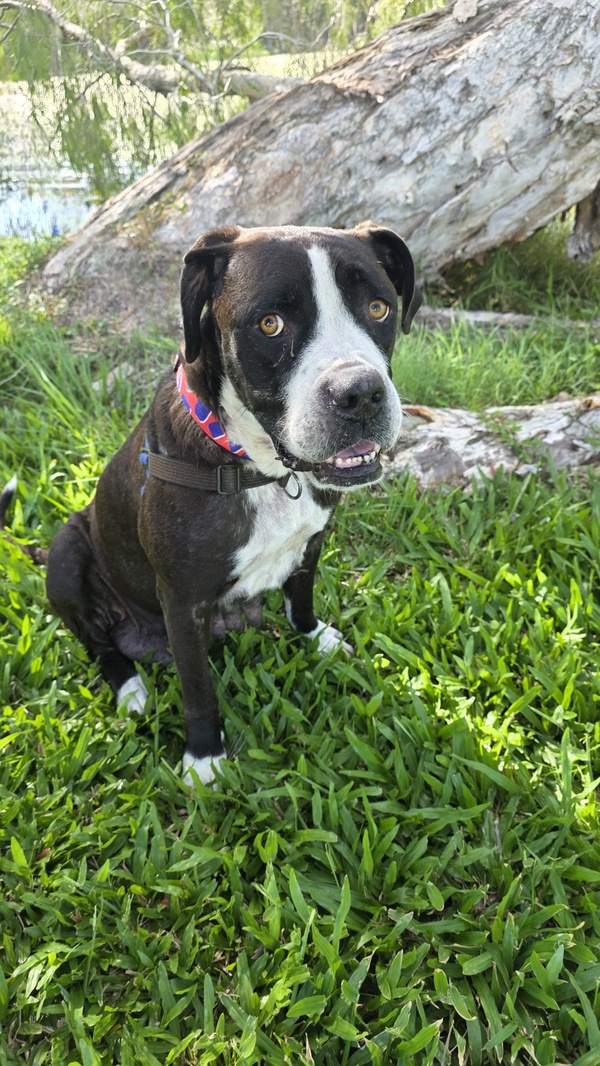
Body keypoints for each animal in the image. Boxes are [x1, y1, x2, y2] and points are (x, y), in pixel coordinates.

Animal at [2, 223, 421, 784]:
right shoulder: (181, 600)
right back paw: (130, 689)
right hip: (68, 554)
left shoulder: (310, 543)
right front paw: (204, 757)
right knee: (99, 645)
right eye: (270, 324)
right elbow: (198, 688)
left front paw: (315, 636)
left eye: (378, 308)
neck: (257, 468)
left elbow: (302, 598)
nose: (360, 393)